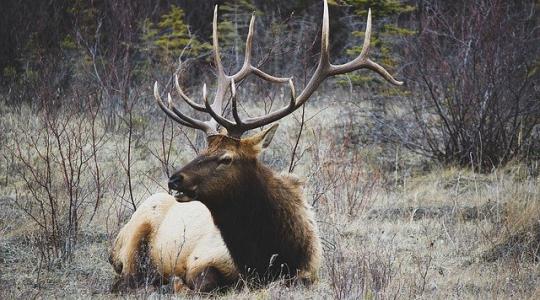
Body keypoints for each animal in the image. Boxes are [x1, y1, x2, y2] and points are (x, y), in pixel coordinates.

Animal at [108, 0, 400, 292]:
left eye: (226, 158)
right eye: (202, 150)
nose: (174, 179)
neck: (268, 256)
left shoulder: (309, 273)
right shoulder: (199, 260)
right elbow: (196, 282)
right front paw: (176, 282)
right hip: (132, 239)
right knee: (126, 278)